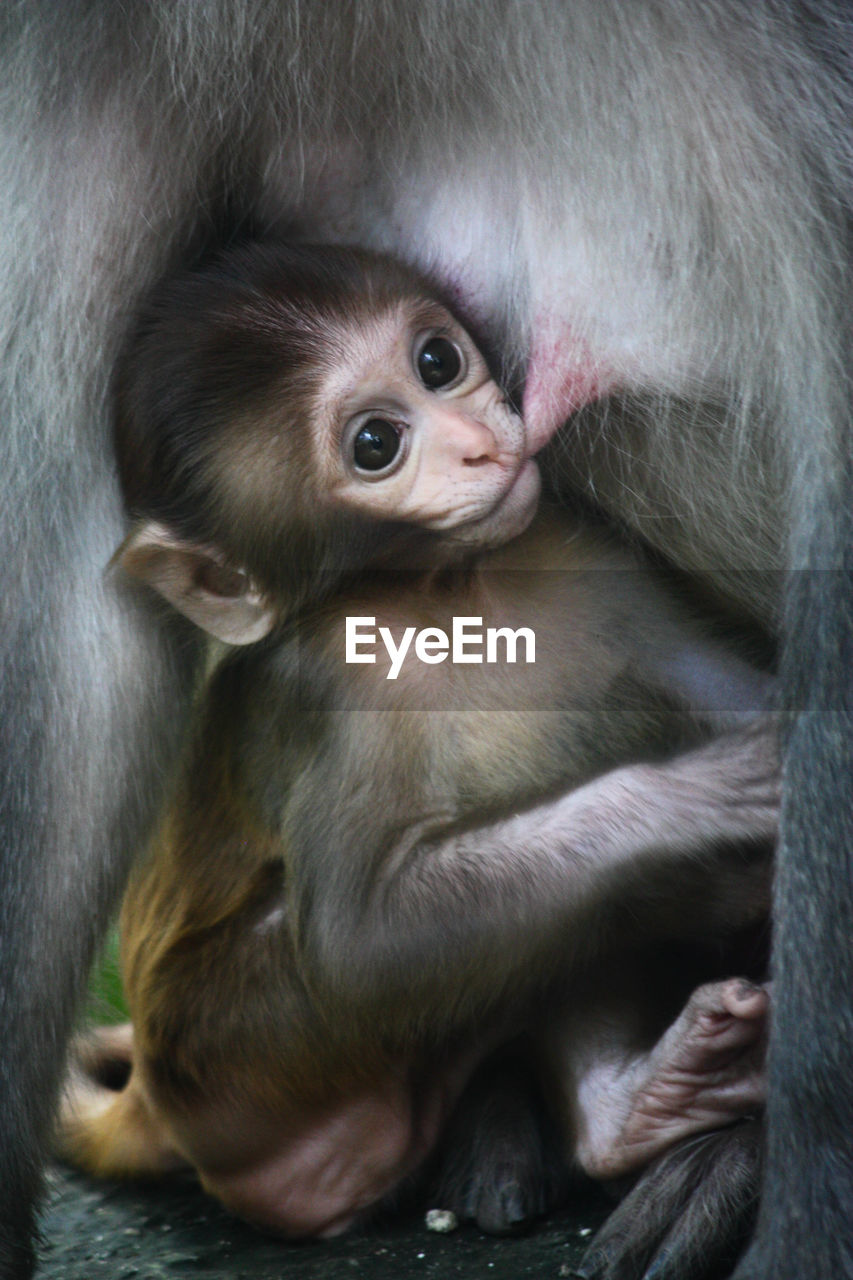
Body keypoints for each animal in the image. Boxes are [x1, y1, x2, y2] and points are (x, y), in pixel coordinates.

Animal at [61, 240, 778, 1249]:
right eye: (375, 445)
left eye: (437, 360)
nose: (479, 439)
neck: (453, 591)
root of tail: (149, 1107)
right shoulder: (329, 686)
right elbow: (360, 945)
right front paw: (713, 797)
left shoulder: (584, 555)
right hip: (233, 1054)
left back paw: (641, 1104)